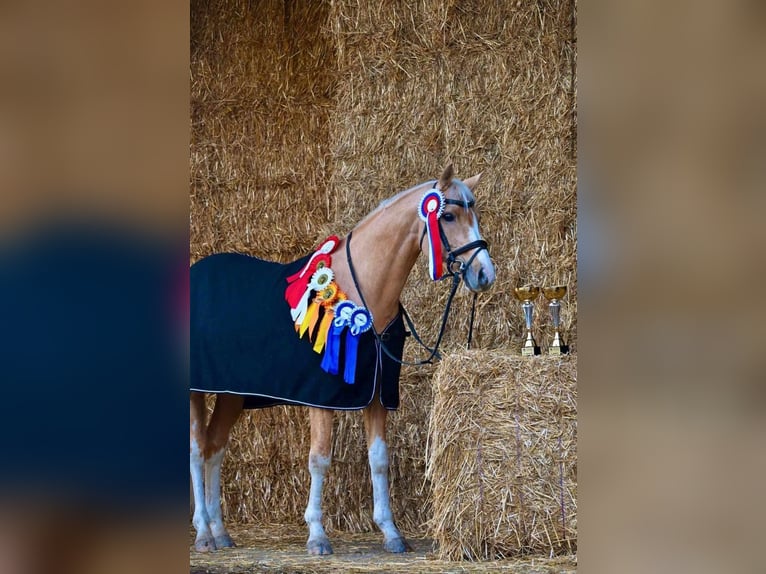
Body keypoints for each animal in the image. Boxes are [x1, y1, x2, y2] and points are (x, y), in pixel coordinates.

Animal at [189, 164, 496, 555]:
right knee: (197, 450)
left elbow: (379, 459)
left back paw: (219, 531)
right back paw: (202, 531)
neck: (360, 289)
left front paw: (391, 533)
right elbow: (319, 459)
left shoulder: (377, 395)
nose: (485, 274)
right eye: (448, 216)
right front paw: (317, 535)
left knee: (215, 447)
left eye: (476, 215)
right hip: (196, 392)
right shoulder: (320, 397)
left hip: (232, 394)